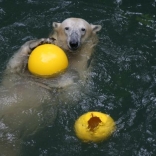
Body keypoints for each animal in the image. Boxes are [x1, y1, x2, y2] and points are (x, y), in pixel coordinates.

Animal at [0, 17, 101, 155]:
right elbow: (13, 66)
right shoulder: (16, 76)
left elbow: (71, 93)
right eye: (66, 28)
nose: (73, 43)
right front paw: (38, 42)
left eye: (83, 29)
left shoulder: (85, 72)